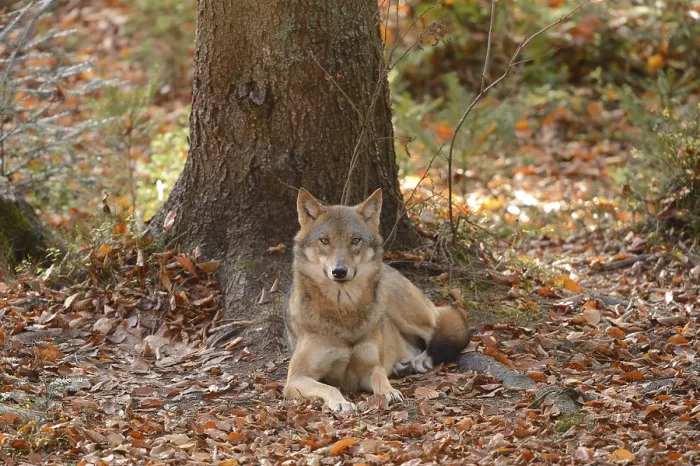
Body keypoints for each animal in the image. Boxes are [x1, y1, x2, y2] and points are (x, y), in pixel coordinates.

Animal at [282, 188, 472, 412]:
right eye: (325, 241)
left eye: (355, 240)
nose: (339, 271)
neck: (344, 312)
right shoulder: (295, 379)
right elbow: (330, 387)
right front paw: (341, 403)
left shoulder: (369, 368)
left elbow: (379, 376)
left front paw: (389, 392)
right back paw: (402, 365)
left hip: (404, 311)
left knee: (442, 330)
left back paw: (421, 360)